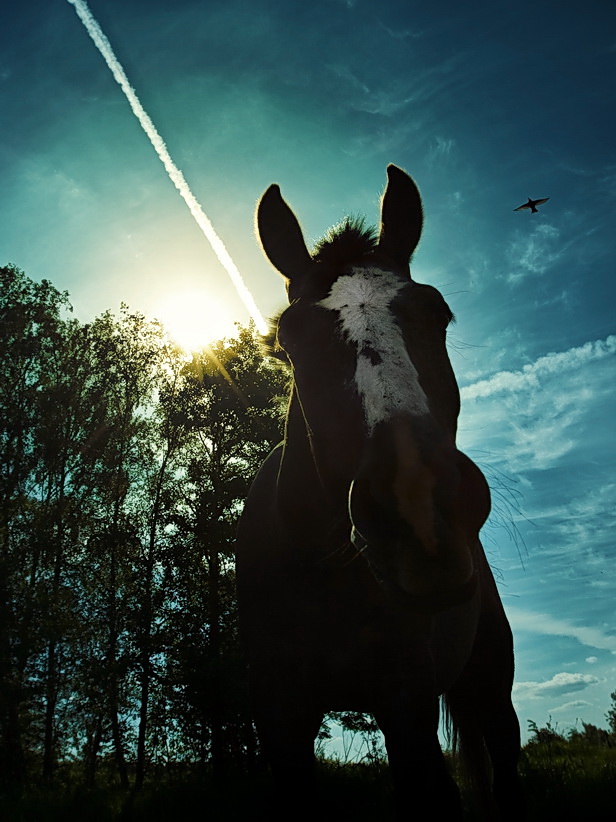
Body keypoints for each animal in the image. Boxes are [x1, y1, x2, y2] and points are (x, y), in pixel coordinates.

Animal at [236, 164, 524, 820]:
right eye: (288, 337)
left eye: (438, 313)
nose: (418, 501)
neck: (321, 574)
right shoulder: (279, 715)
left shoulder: (408, 706)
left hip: (491, 686)